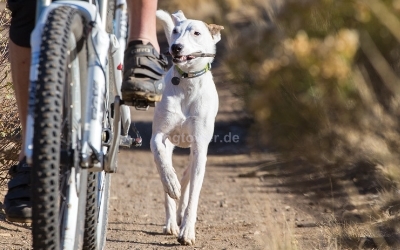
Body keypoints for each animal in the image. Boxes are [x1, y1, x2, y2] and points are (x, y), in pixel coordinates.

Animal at [150, 10, 223, 246]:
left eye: (197, 33)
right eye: (175, 31)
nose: (176, 47)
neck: (186, 82)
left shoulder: (200, 147)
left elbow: (193, 194)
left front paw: (188, 231)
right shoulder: (159, 135)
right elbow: (161, 158)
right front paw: (170, 182)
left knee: (187, 177)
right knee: (170, 183)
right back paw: (171, 222)